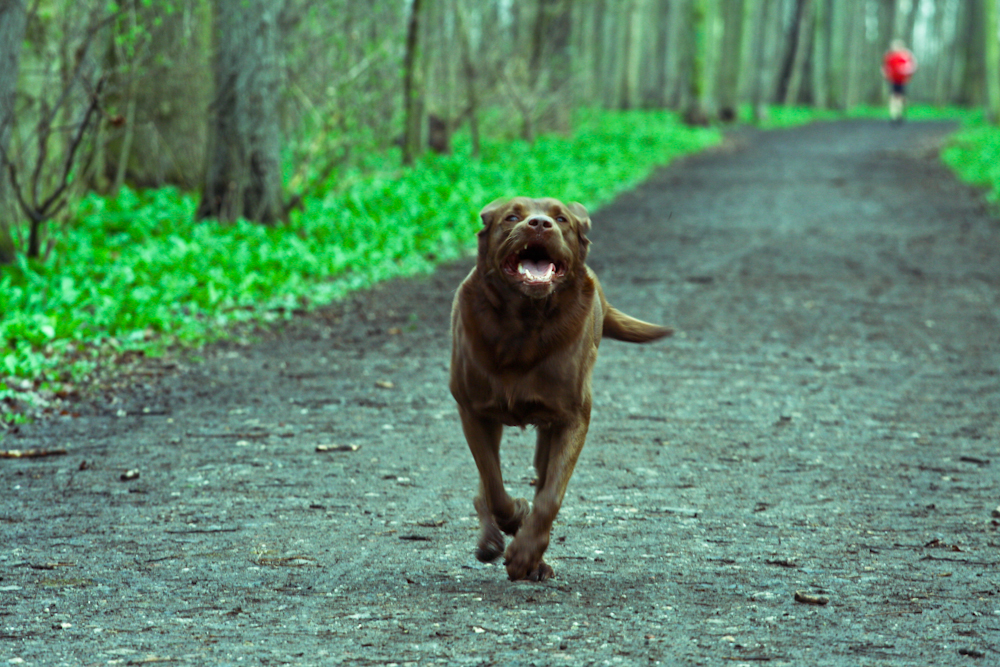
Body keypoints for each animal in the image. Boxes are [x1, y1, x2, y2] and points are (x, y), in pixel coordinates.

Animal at [452, 197, 672, 580]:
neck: (523, 325)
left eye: (561, 219)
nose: (540, 225)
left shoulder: (572, 417)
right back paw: (492, 538)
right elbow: (493, 483)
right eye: (512, 216)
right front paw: (515, 516)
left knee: (542, 479)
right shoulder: (472, 410)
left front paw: (526, 553)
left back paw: (534, 560)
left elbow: (551, 494)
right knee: (487, 482)